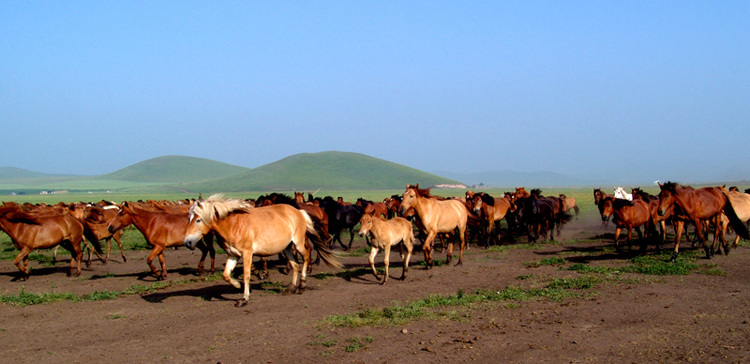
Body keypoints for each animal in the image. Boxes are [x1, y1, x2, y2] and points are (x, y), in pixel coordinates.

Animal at [185, 196, 344, 308]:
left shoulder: (247, 253)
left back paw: (302, 285)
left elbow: (247, 275)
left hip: (298, 243)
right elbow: (226, 275)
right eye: (189, 218)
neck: (233, 224)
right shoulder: (233, 255)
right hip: (286, 247)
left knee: (305, 257)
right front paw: (237, 285)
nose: (187, 242)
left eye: (198, 220)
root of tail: (299, 211)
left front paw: (244, 299)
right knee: (295, 265)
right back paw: (291, 288)